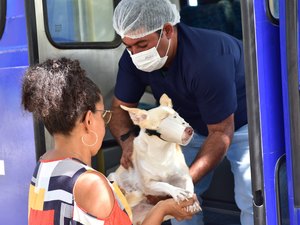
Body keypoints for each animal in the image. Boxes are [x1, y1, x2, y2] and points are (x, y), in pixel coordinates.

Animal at [106, 93, 200, 225]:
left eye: (178, 116)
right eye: (163, 119)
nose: (189, 129)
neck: (162, 153)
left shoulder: (184, 176)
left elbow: (189, 186)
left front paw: (192, 201)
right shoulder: (148, 185)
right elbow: (163, 184)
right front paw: (176, 191)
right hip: (112, 177)